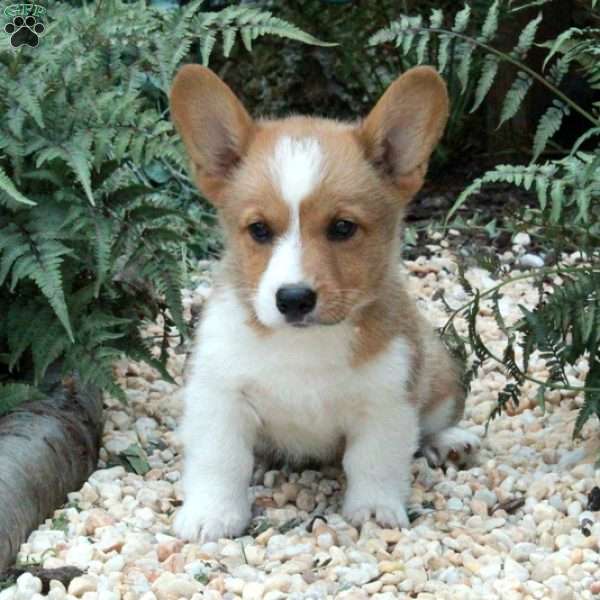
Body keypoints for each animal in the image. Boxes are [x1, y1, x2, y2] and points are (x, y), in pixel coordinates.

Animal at [171, 65, 480, 544]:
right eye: (259, 230)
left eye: (342, 228)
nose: (294, 299)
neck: (305, 345)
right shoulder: (220, 395)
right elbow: (219, 461)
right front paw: (212, 514)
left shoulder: (386, 402)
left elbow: (375, 462)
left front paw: (374, 510)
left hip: (441, 376)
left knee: (431, 422)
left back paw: (449, 441)